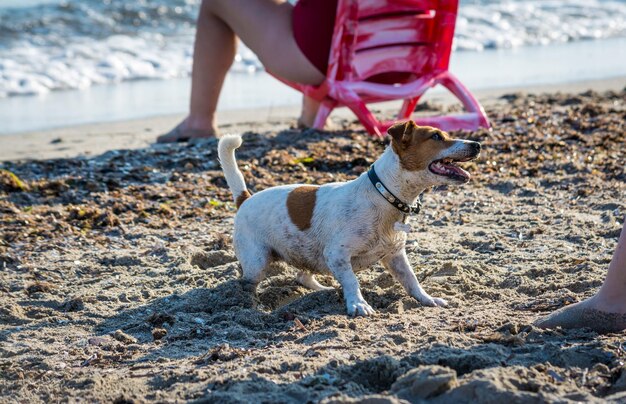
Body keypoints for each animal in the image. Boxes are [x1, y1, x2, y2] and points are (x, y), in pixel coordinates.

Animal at [217, 121, 480, 318]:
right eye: (436, 136)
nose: (477, 144)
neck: (384, 193)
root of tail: (245, 198)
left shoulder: (395, 256)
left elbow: (412, 280)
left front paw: (427, 299)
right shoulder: (337, 254)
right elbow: (353, 281)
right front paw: (358, 304)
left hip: (306, 254)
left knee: (302, 276)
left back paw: (323, 289)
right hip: (257, 262)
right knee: (245, 284)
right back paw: (250, 303)